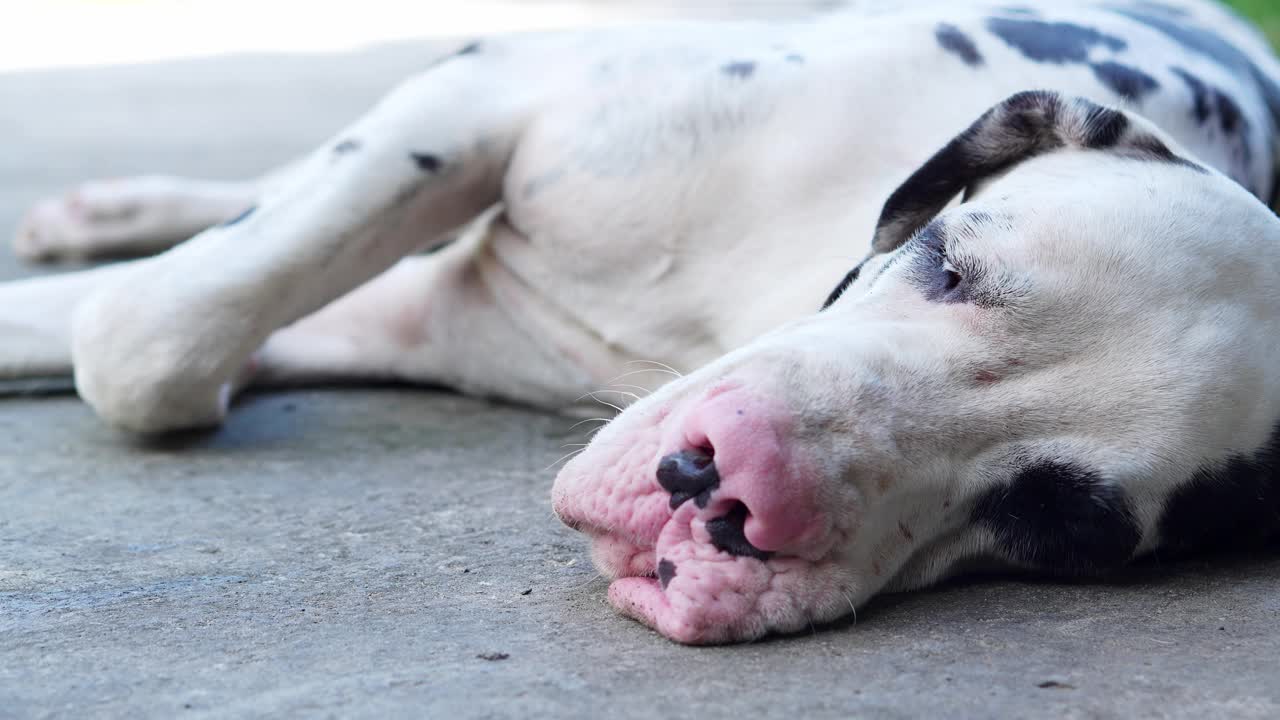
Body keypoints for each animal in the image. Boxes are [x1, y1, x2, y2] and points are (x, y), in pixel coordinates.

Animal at [2, 0, 1280, 638]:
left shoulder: (422, 313)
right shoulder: (486, 94)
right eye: (946, 265)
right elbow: (153, 331)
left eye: (1055, 524)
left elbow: (143, 335)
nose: (731, 489)